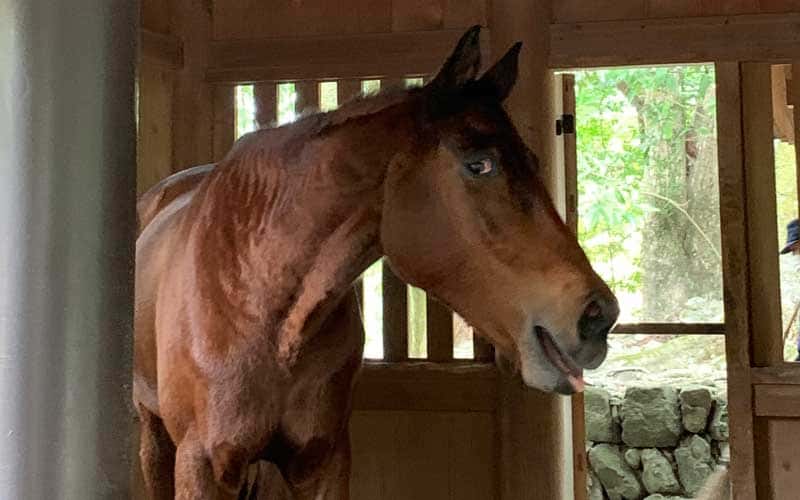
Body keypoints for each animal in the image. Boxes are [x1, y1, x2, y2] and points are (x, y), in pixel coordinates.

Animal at [134, 25, 620, 499]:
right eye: (478, 164)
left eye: (535, 162)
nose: (598, 317)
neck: (261, 304)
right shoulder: (201, 464)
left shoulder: (323, 461)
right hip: (156, 439)